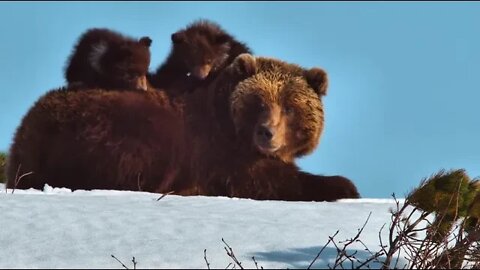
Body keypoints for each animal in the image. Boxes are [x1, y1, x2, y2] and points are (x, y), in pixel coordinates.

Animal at [6, 53, 360, 201]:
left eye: (289, 107)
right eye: (259, 102)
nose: (267, 133)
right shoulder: (218, 152)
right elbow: (266, 180)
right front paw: (343, 185)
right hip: (102, 137)